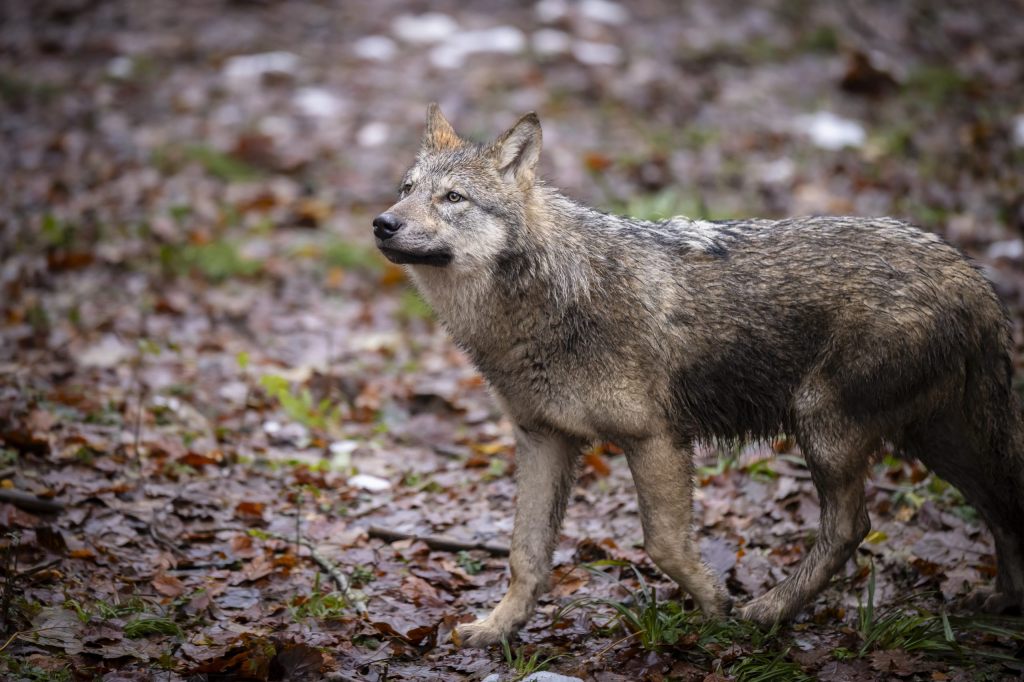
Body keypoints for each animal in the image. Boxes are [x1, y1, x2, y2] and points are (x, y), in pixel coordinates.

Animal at [370, 103, 1024, 647]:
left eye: (454, 198)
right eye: (407, 190)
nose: (382, 223)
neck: (547, 298)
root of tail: (973, 277)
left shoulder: (655, 439)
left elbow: (663, 543)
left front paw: (715, 609)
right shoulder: (543, 440)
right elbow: (524, 555)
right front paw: (497, 629)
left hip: (825, 426)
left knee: (851, 526)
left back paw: (767, 612)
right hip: (934, 442)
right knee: (998, 503)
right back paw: (1002, 603)